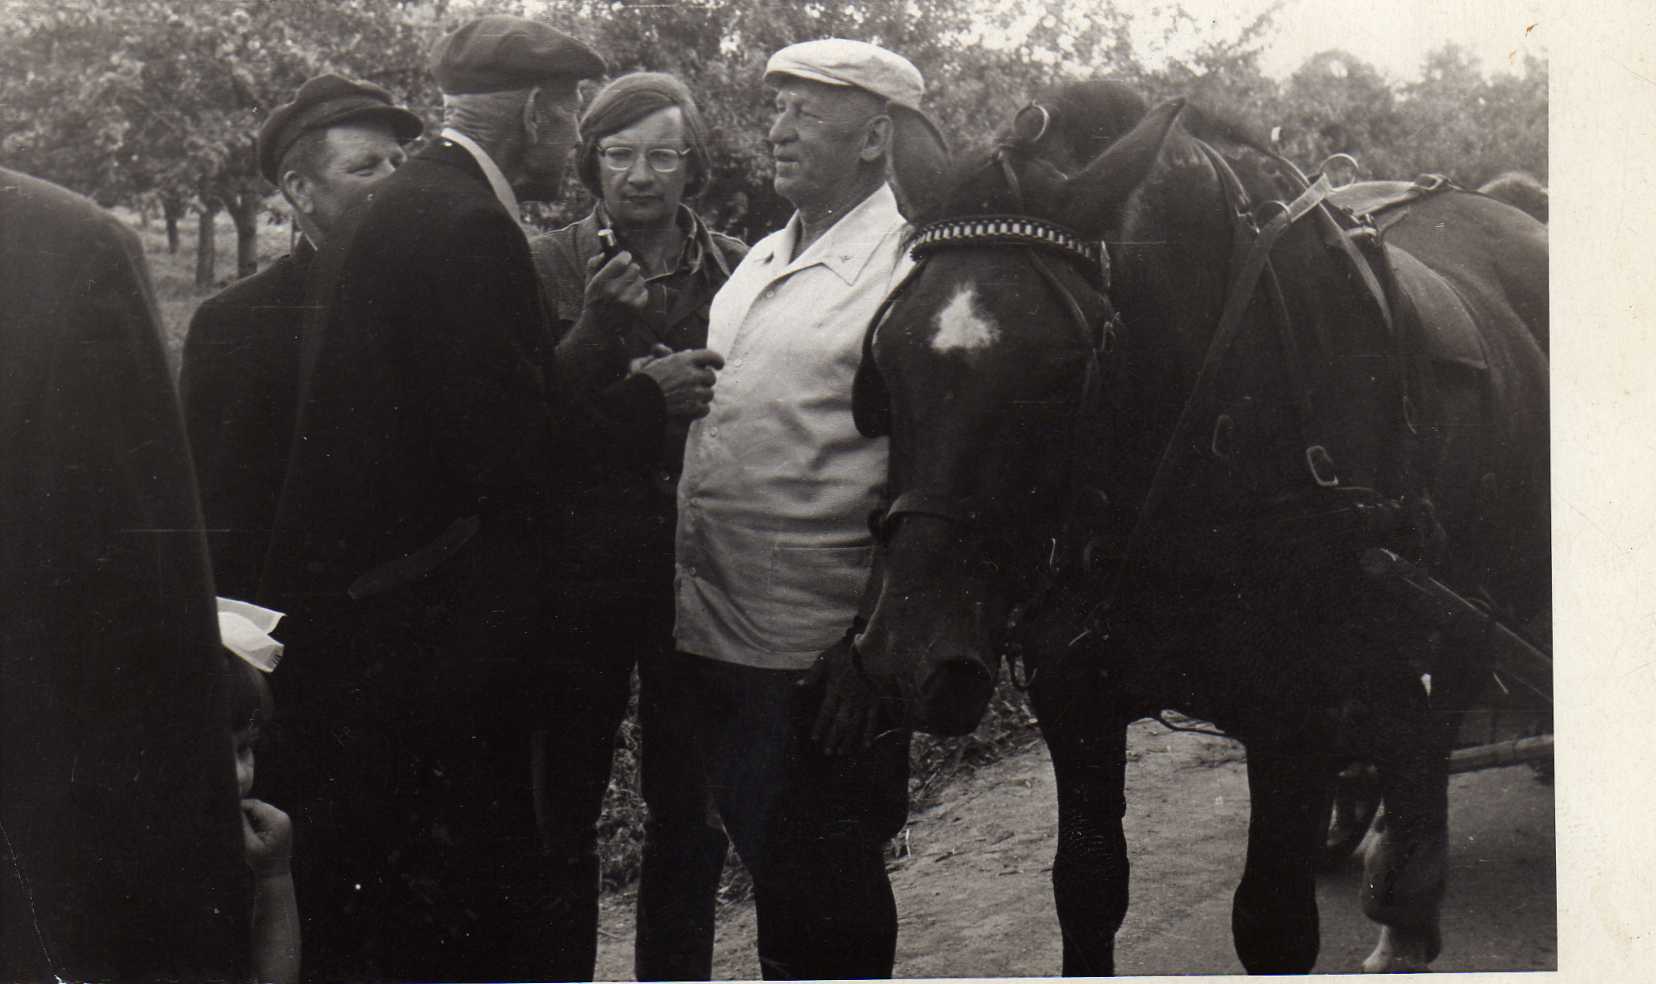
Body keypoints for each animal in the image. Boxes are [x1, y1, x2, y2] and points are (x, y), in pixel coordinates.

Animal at [854, 84, 1550, 974]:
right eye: (885, 356)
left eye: (1064, 369)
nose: (905, 655)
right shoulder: (1072, 687)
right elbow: (1085, 891)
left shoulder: (1295, 709)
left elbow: (1272, 923)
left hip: (1474, 590)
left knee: (1432, 720)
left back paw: (1403, 908)